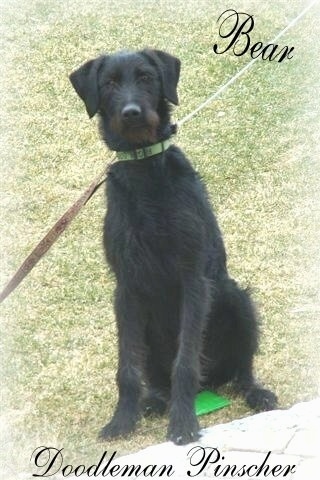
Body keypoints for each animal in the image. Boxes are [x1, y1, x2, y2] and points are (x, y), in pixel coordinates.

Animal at [70, 48, 278, 446]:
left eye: (146, 77)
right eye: (109, 83)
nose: (131, 113)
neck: (146, 172)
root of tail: (212, 382)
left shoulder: (193, 278)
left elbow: (185, 363)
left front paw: (183, 424)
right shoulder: (126, 288)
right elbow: (127, 367)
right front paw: (122, 420)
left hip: (235, 298)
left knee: (239, 370)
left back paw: (255, 392)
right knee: (156, 377)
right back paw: (152, 400)